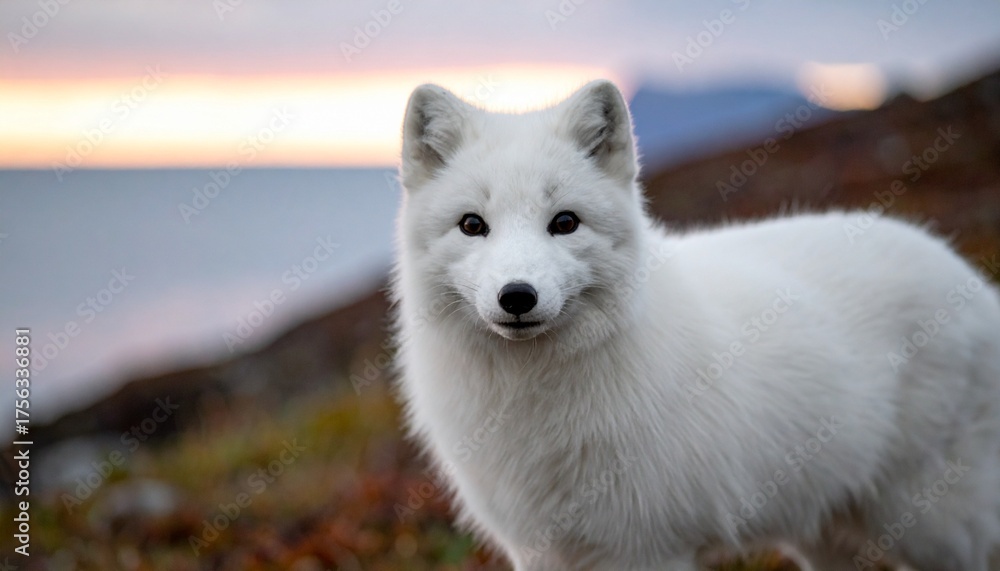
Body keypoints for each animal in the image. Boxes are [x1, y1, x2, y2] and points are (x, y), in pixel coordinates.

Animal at [391, 79, 1000, 570]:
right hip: (824, 530)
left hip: (933, 526)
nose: (517, 296)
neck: (530, 399)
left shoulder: (647, 551)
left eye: (564, 222)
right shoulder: (542, 551)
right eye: (473, 225)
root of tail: (971, 278)